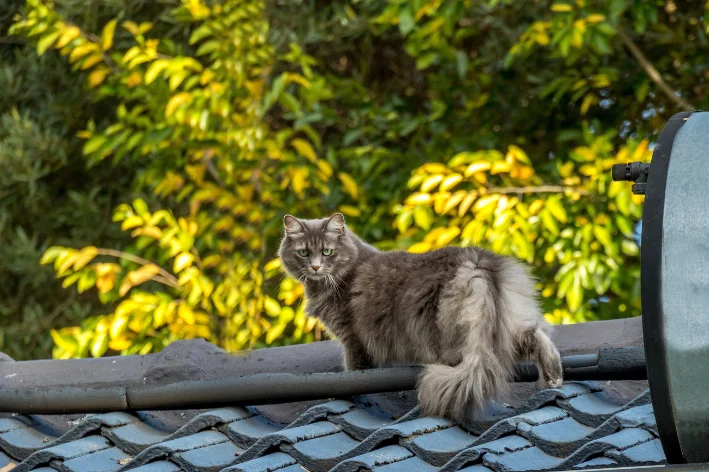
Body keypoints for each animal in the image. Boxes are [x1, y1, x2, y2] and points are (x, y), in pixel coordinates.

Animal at [280, 214, 560, 420]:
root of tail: (475, 261)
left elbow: (354, 372)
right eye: (303, 253)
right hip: (506, 326)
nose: (315, 267)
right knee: (536, 339)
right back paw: (552, 379)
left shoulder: (353, 338)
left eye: (327, 252)